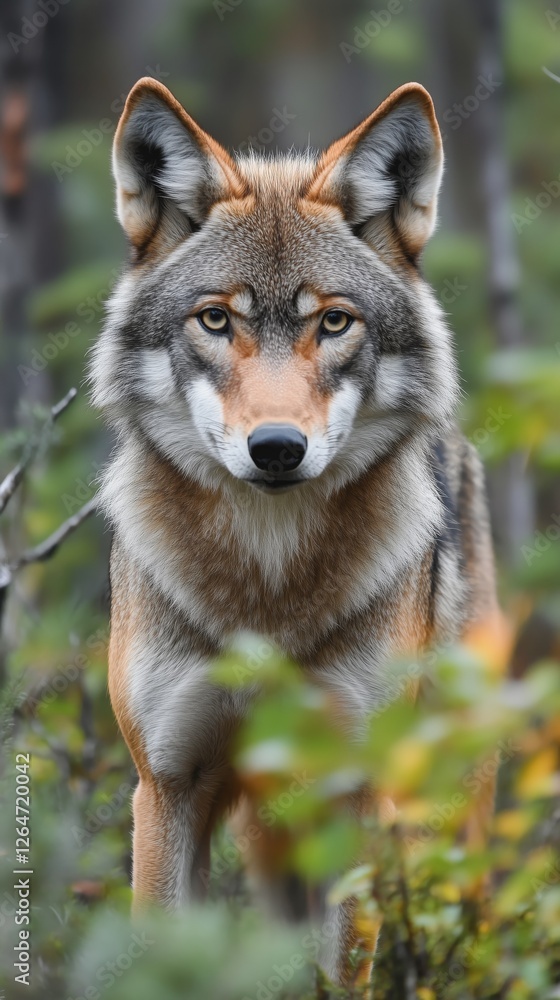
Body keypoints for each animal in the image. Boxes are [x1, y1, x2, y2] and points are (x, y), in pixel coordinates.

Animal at [91, 77, 500, 987]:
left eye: (334, 323)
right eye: (215, 321)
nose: (277, 447)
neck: (267, 591)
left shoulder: (357, 792)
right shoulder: (167, 786)